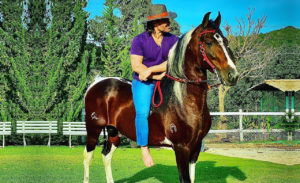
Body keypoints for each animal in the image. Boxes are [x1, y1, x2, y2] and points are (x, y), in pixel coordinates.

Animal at [82, 11, 239, 183]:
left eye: (226, 41)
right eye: (209, 42)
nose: (233, 75)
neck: (184, 101)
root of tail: (96, 83)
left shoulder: (196, 148)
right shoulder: (181, 148)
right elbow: (185, 179)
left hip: (113, 132)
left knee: (106, 155)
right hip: (93, 129)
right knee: (88, 157)